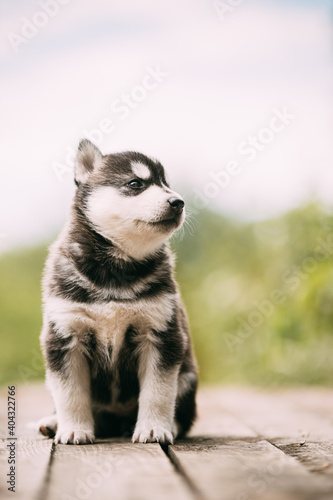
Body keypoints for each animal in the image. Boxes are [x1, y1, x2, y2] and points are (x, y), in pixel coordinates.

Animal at [37, 139, 196, 444]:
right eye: (135, 183)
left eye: (166, 184)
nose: (178, 202)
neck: (117, 269)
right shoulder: (64, 336)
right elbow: (70, 394)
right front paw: (73, 429)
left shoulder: (162, 335)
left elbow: (158, 392)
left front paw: (153, 428)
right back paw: (52, 422)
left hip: (187, 377)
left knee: (184, 414)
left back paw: (168, 426)